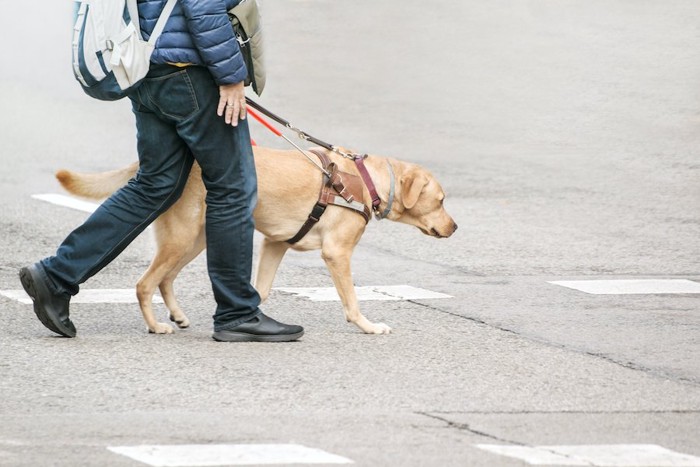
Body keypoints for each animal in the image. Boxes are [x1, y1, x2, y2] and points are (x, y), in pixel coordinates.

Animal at [56, 146, 460, 332]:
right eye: (441, 201)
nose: (456, 228)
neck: (364, 180)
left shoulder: (275, 244)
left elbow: (260, 290)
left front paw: (249, 317)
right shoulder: (337, 253)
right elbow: (352, 301)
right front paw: (368, 326)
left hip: (195, 239)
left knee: (165, 279)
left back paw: (177, 315)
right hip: (182, 238)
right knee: (145, 283)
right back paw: (155, 325)